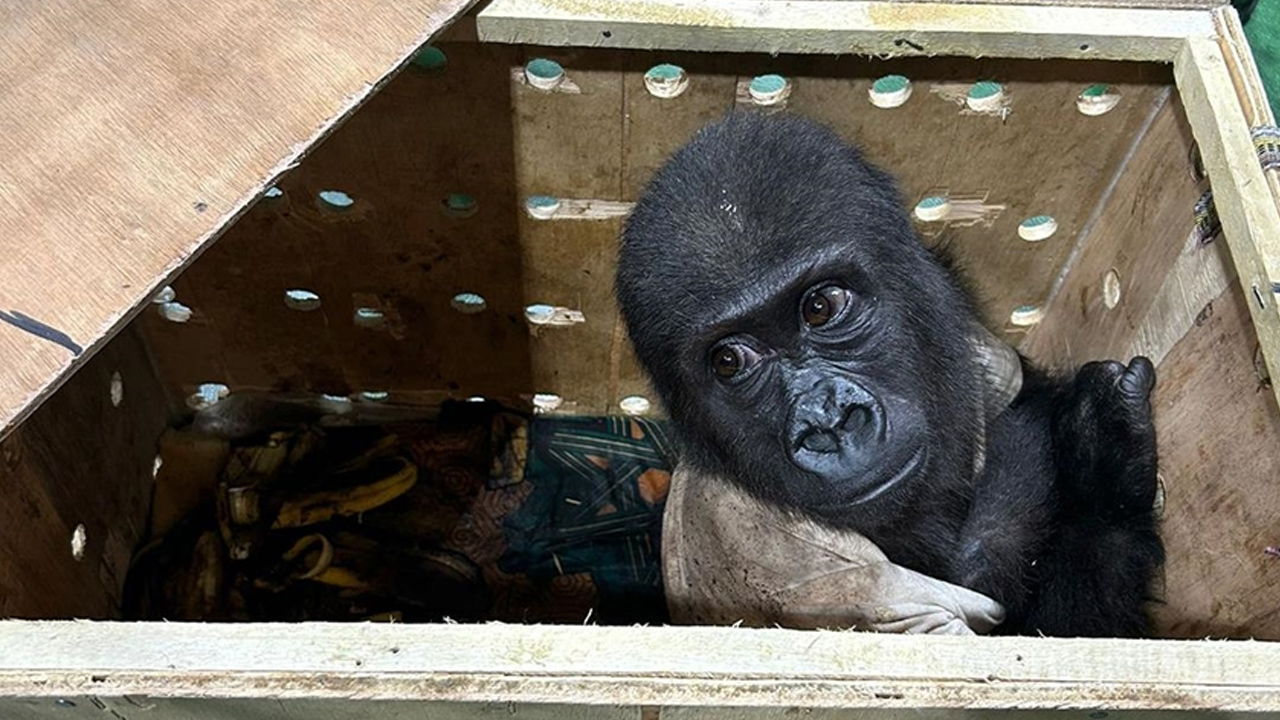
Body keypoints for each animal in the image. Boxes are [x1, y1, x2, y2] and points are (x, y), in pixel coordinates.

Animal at [614, 109, 1167, 635]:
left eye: (821, 307)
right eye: (730, 361)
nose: (828, 421)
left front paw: (1100, 453)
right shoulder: (815, 572)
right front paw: (1103, 474)